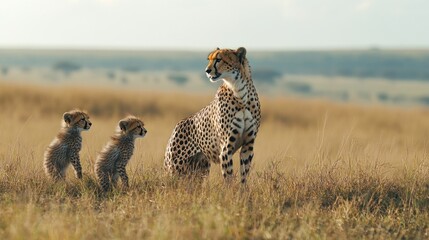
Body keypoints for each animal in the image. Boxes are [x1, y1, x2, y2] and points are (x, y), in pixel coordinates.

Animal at [164, 47, 260, 183]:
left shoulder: (248, 145)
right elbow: (228, 177)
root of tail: (177, 125)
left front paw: (243, 188)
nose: (207, 70)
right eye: (209, 59)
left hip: (200, 168)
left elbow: (244, 176)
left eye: (219, 59)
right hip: (176, 168)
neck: (240, 92)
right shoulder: (226, 148)